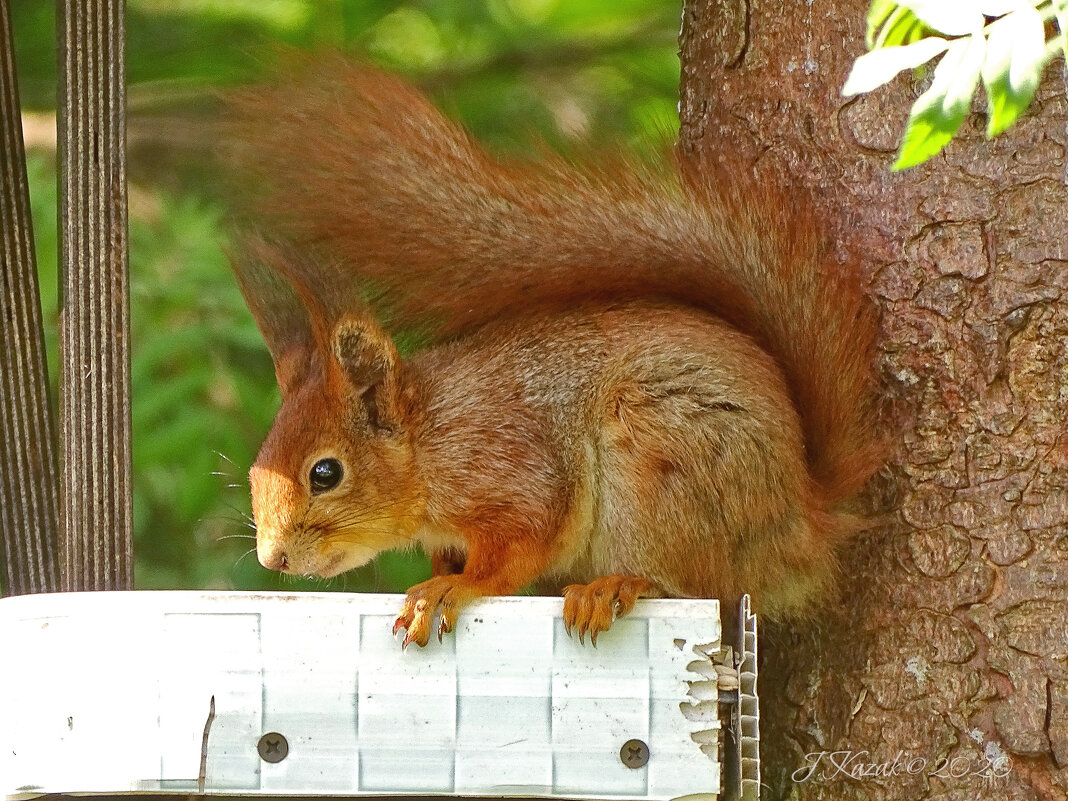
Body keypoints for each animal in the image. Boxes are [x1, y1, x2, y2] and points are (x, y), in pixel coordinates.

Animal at [223, 57, 875, 645]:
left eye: (325, 473)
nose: (274, 559)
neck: (431, 444)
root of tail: (802, 522)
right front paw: (437, 579)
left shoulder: (512, 471)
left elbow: (518, 549)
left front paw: (452, 589)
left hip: (666, 463)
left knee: (690, 581)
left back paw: (614, 586)